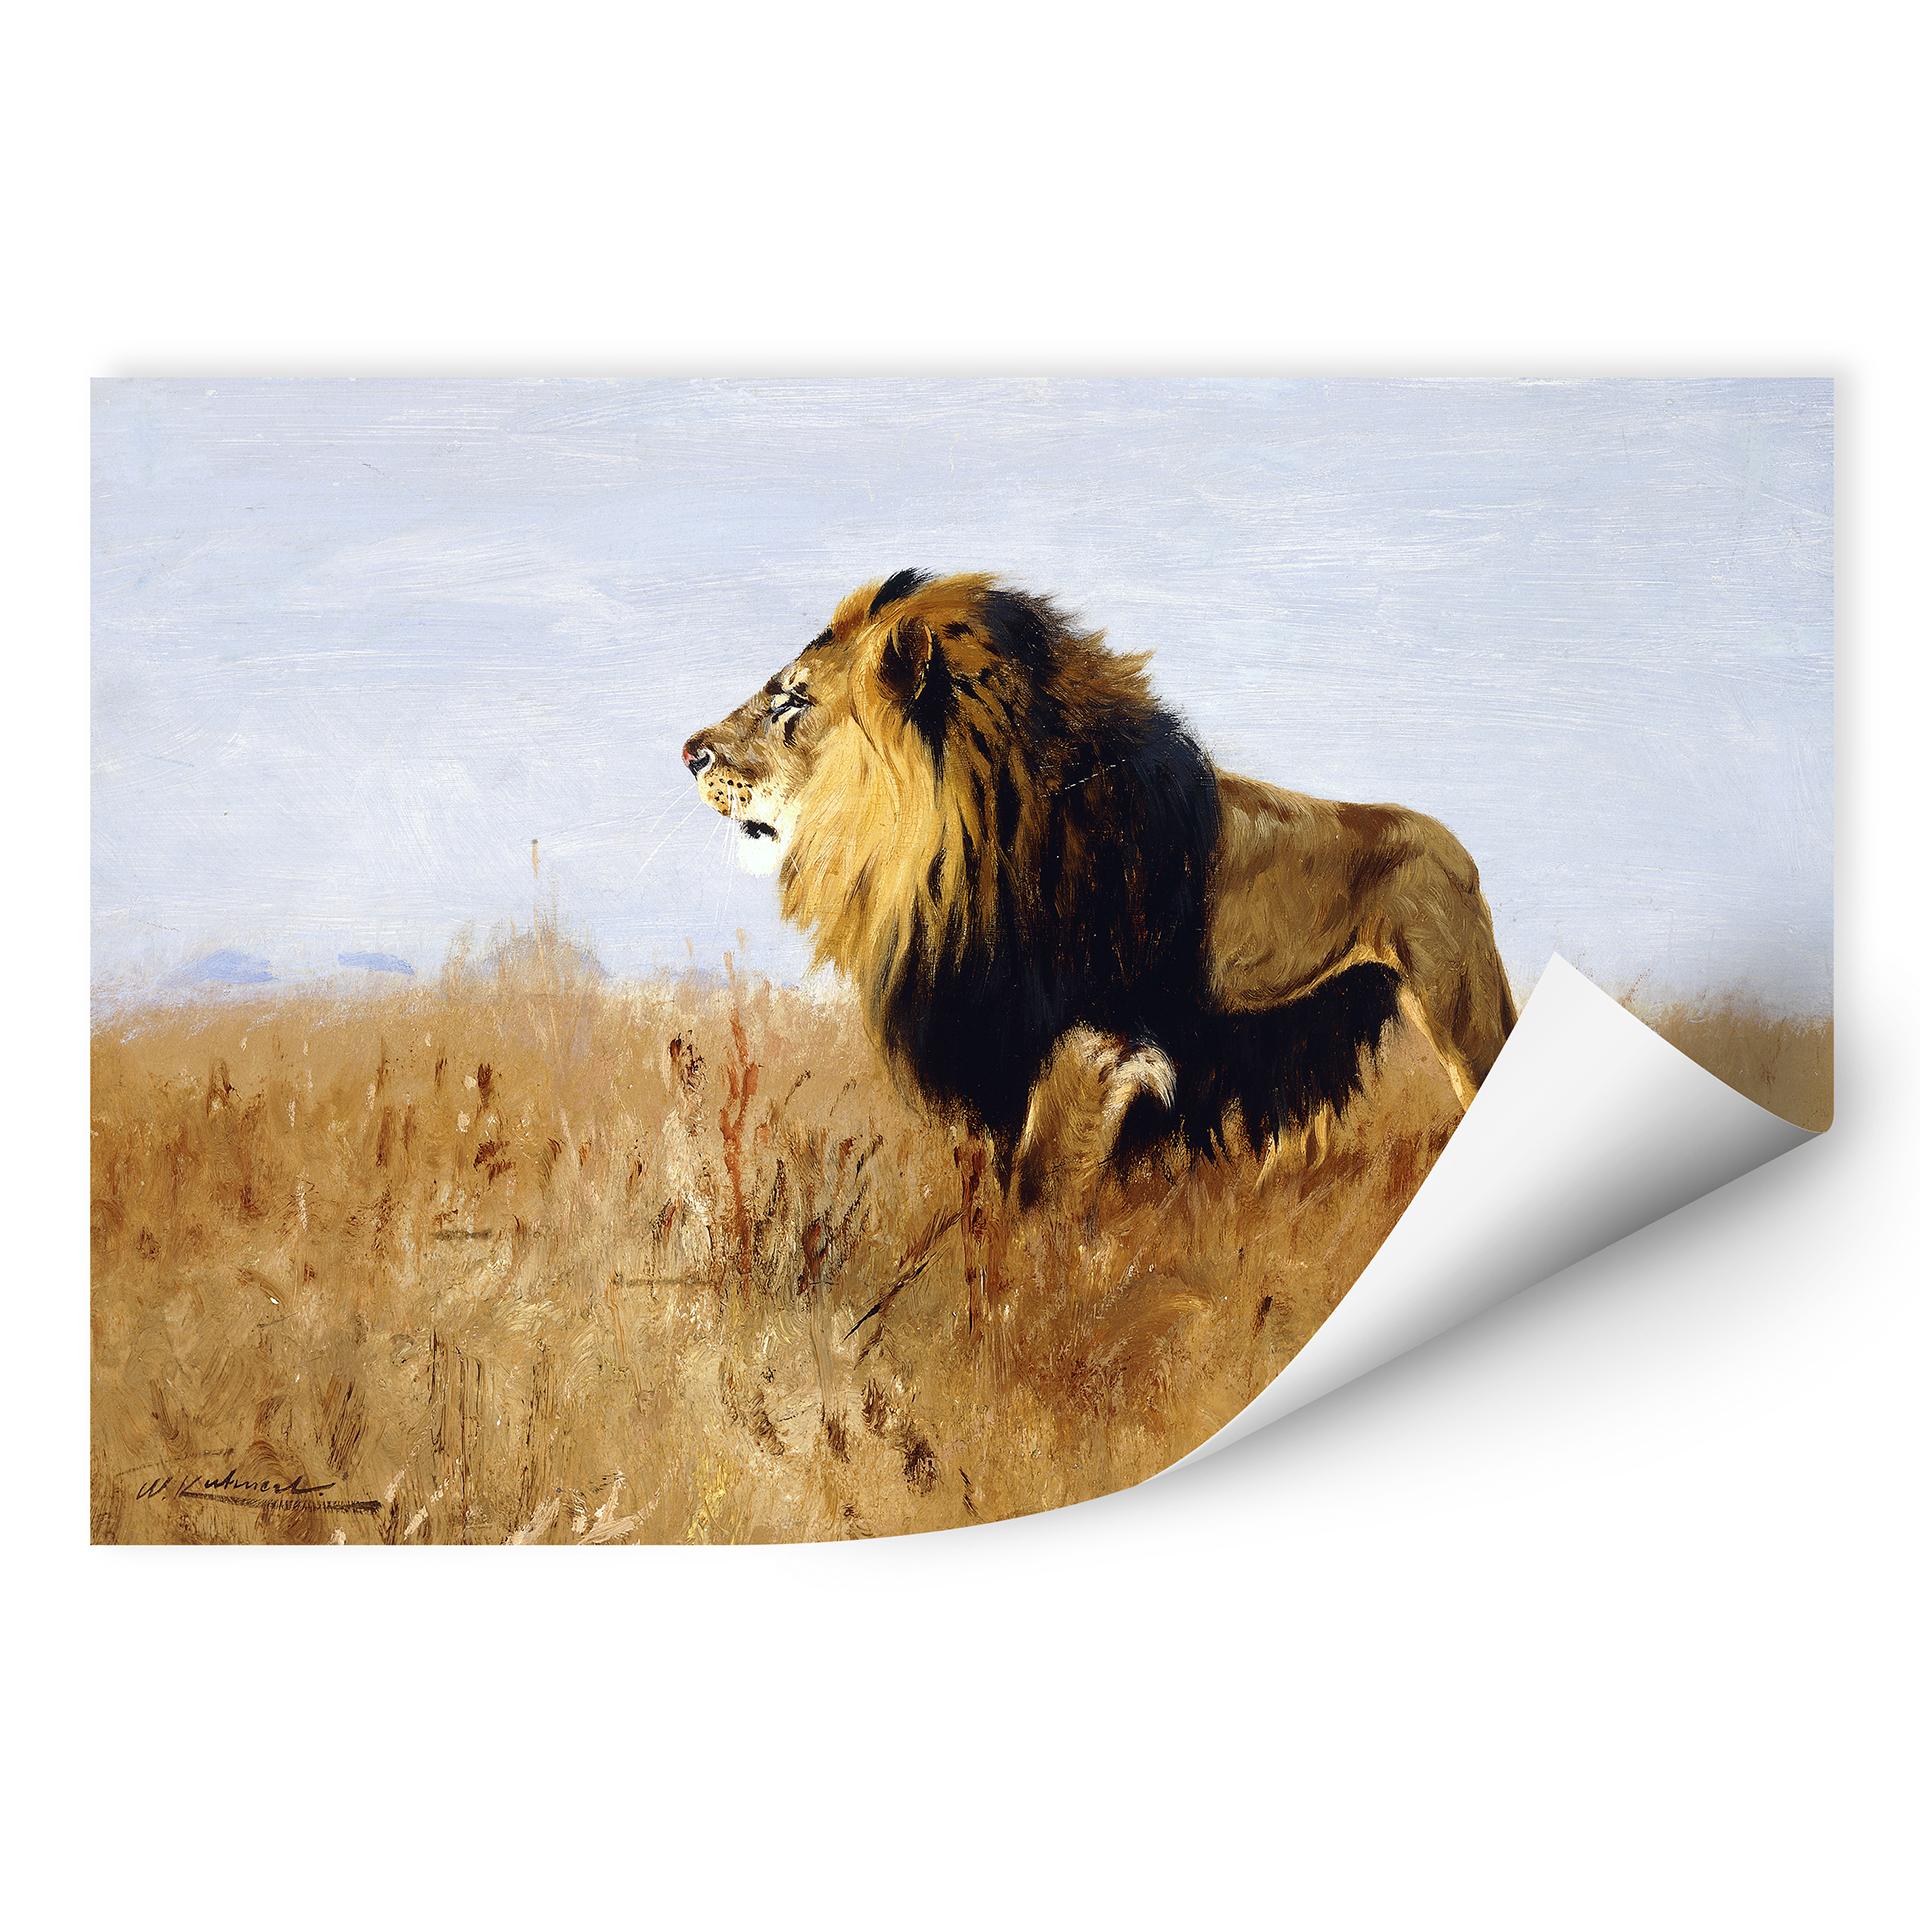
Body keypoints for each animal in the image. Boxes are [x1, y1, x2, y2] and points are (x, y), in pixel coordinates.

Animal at [680, 570, 1516, 1210]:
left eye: (792, 703)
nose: (688, 752)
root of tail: (1457, 848)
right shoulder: (1001, 1042)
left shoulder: (1097, 1040)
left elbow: (1036, 1188)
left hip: (1462, 1010)